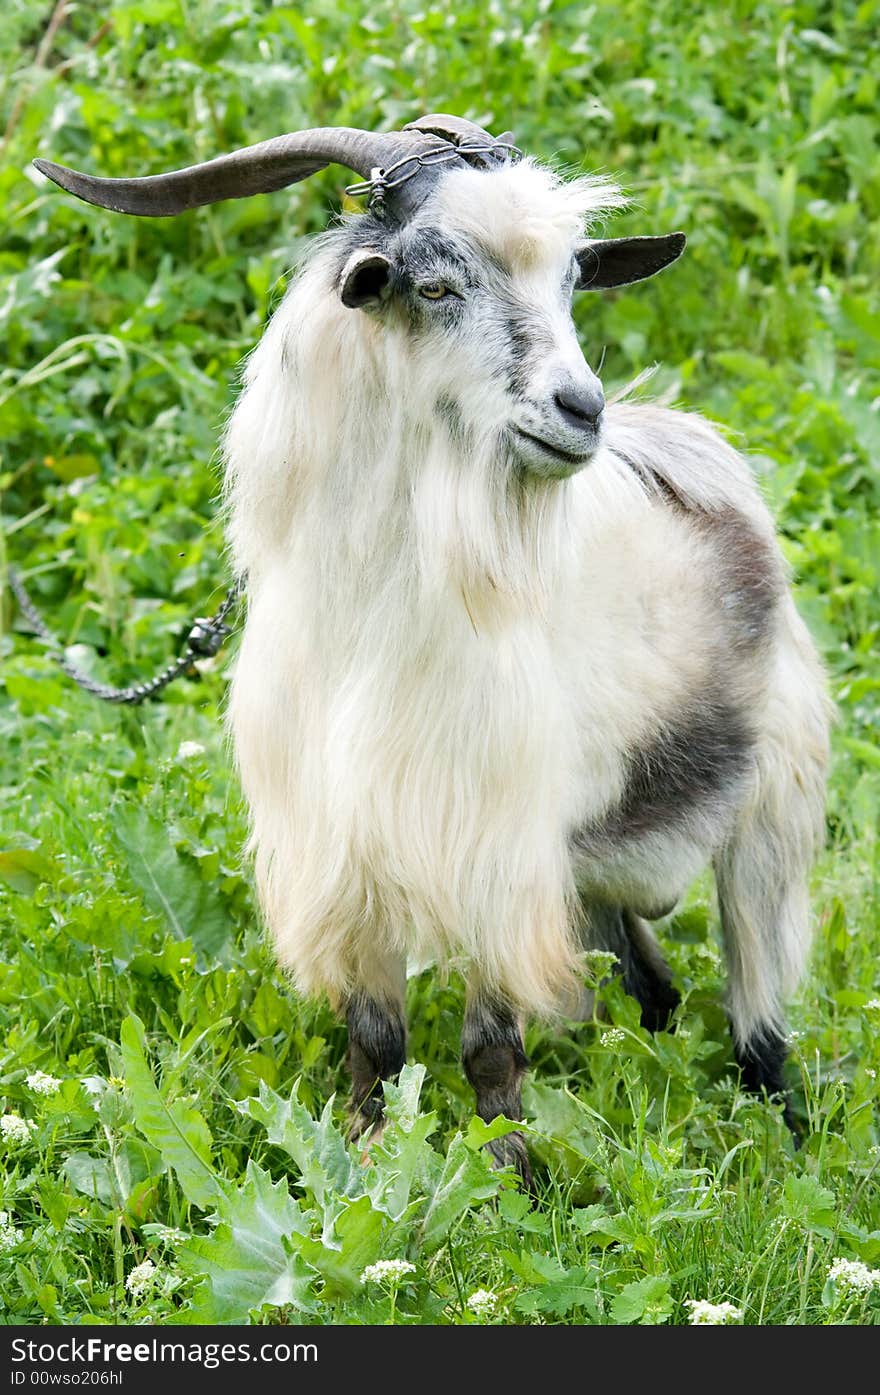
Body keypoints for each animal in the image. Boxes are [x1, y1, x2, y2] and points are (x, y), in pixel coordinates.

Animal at [36, 114, 831, 1177]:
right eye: (437, 285)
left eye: (571, 283)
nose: (581, 410)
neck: (376, 621)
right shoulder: (347, 851)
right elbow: (374, 1036)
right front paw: (364, 1157)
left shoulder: (493, 846)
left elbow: (492, 1044)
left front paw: (510, 1175)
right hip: (603, 861)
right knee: (654, 983)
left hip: (770, 814)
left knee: (759, 1004)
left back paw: (781, 1126)